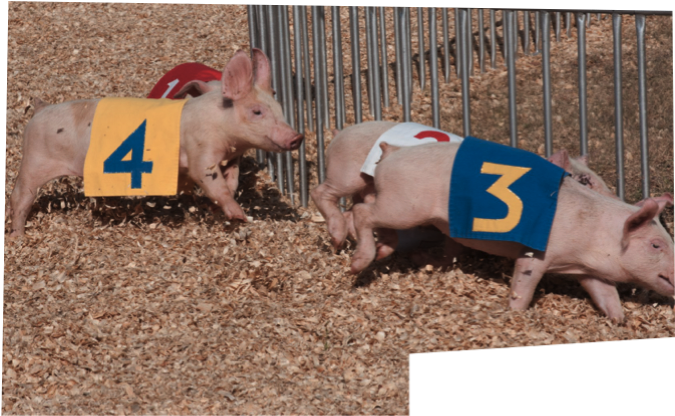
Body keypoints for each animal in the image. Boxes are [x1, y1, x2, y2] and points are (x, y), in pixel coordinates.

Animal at [5, 49, 303, 239]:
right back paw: (19, 237)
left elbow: (231, 182)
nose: (297, 137)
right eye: (256, 111)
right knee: (20, 196)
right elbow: (213, 182)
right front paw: (239, 216)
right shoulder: (200, 152)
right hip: (34, 161)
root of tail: (41, 109)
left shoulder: (230, 158)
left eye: (279, 107)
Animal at [348, 141, 675, 322]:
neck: (594, 232)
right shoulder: (536, 253)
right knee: (361, 212)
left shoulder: (589, 271)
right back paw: (358, 264)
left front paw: (620, 322)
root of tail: (392, 153)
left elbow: (607, 296)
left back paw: (388, 251)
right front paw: (515, 314)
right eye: (656, 245)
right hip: (405, 205)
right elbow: (524, 283)